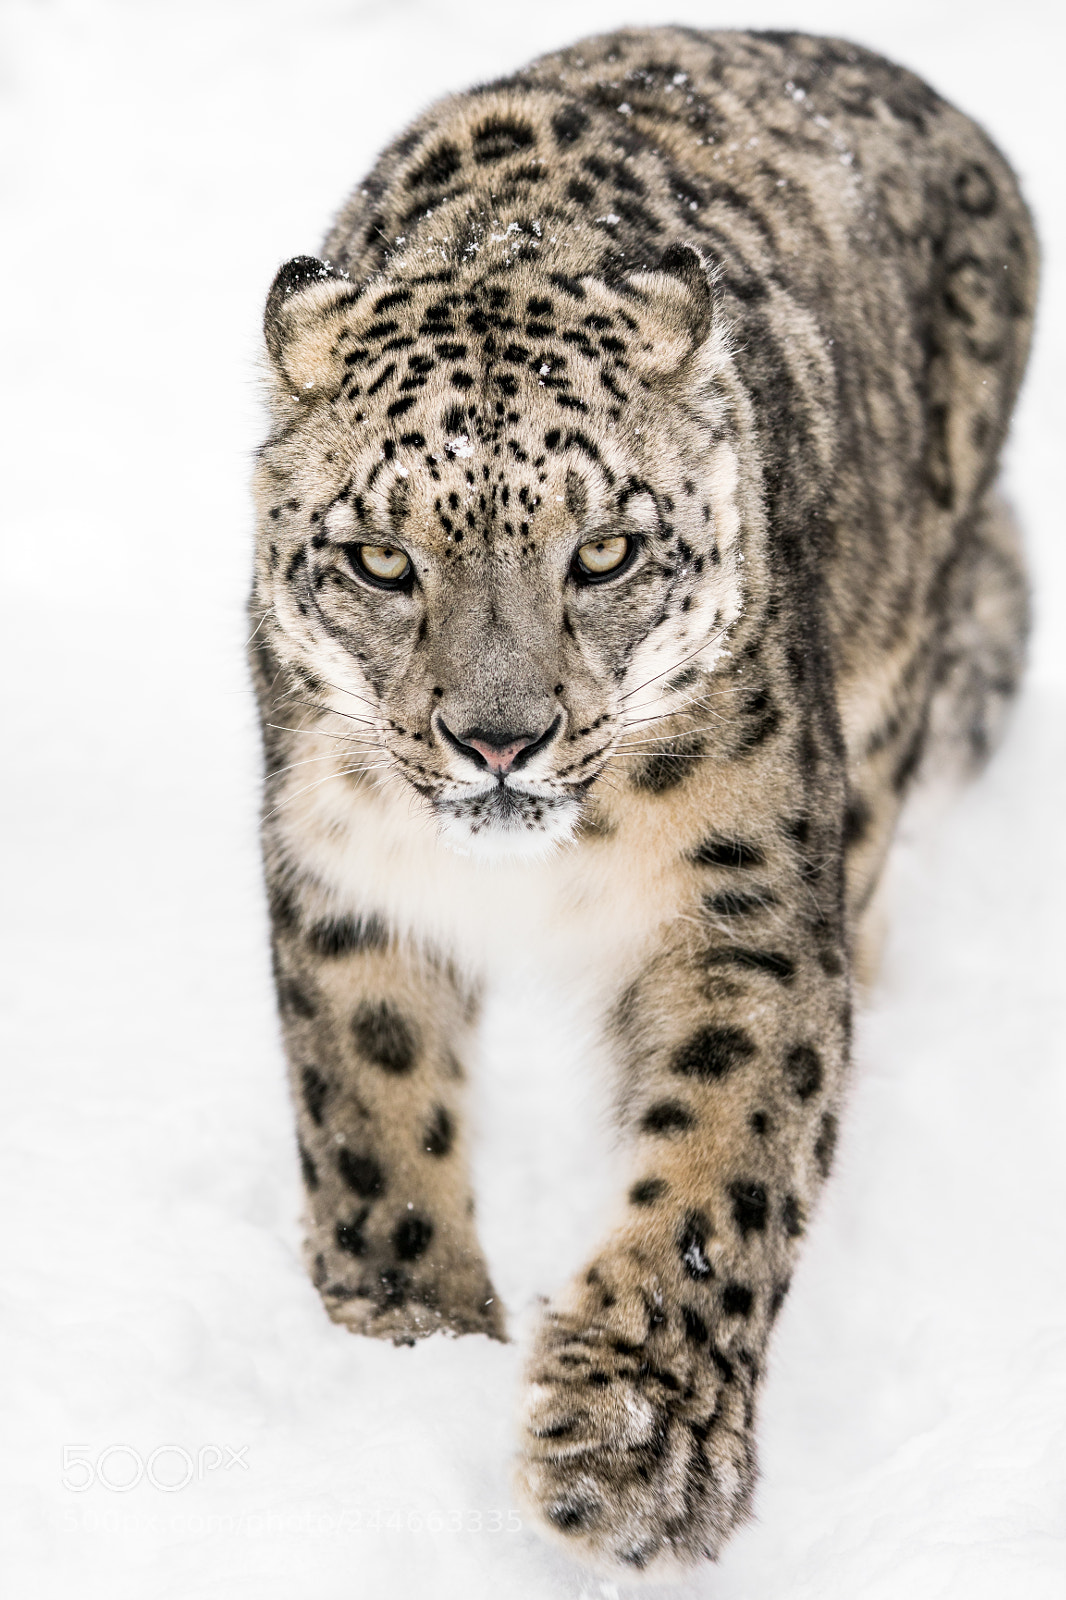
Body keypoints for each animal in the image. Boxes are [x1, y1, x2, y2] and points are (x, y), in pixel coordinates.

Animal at [249, 26, 1036, 1576]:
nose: (499, 738)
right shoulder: (345, 871)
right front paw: (404, 1339)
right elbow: (371, 1113)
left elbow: (720, 1164)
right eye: (380, 560)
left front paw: (631, 1449)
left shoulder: (740, 903)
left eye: (604, 550)